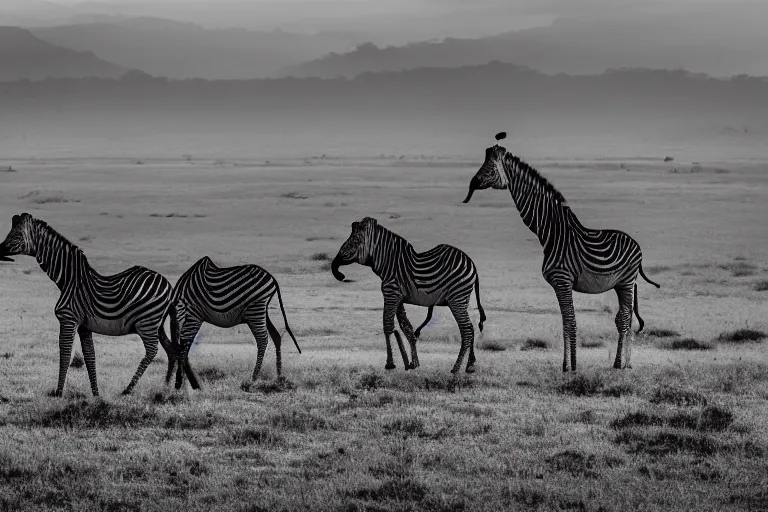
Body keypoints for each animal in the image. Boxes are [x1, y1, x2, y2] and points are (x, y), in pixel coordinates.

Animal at [0, 212, 192, 396]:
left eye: (16, 236)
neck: (70, 280)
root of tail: (168, 286)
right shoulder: (84, 325)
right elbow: (89, 356)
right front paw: (95, 393)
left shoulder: (68, 319)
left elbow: (65, 354)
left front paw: (59, 393)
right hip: (158, 324)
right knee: (172, 351)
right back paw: (166, 389)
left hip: (147, 322)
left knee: (153, 350)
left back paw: (128, 389)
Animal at [170, 254, 302, 390]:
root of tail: (272, 278)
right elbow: (184, 347)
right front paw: (187, 382)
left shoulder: (193, 315)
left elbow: (184, 347)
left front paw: (181, 382)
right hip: (262, 311)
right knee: (276, 336)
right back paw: (279, 377)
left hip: (255, 309)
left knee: (262, 339)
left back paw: (253, 379)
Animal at [330, 214, 486, 374]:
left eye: (354, 242)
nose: (337, 273)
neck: (388, 264)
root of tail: (472, 264)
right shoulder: (398, 298)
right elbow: (407, 328)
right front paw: (413, 363)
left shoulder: (391, 294)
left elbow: (387, 326)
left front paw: (390, 364)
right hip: (462, 299)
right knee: (471, 328)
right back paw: (470, 365)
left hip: (457, 298)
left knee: (467, 330)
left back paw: (456, 368)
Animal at [460, 134, 664, 370]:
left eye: (490, 167)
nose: (472, 184)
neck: (553, 233)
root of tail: (636, 244)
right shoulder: (559, 285)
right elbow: (565, 322)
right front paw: (566, 365)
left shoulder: (563, 280)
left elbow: (571, 322)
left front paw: (573, 366)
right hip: (620, 284)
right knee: (626, 318)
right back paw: (621, 363)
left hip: (627, 281)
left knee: (624, 319)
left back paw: (623, 364)